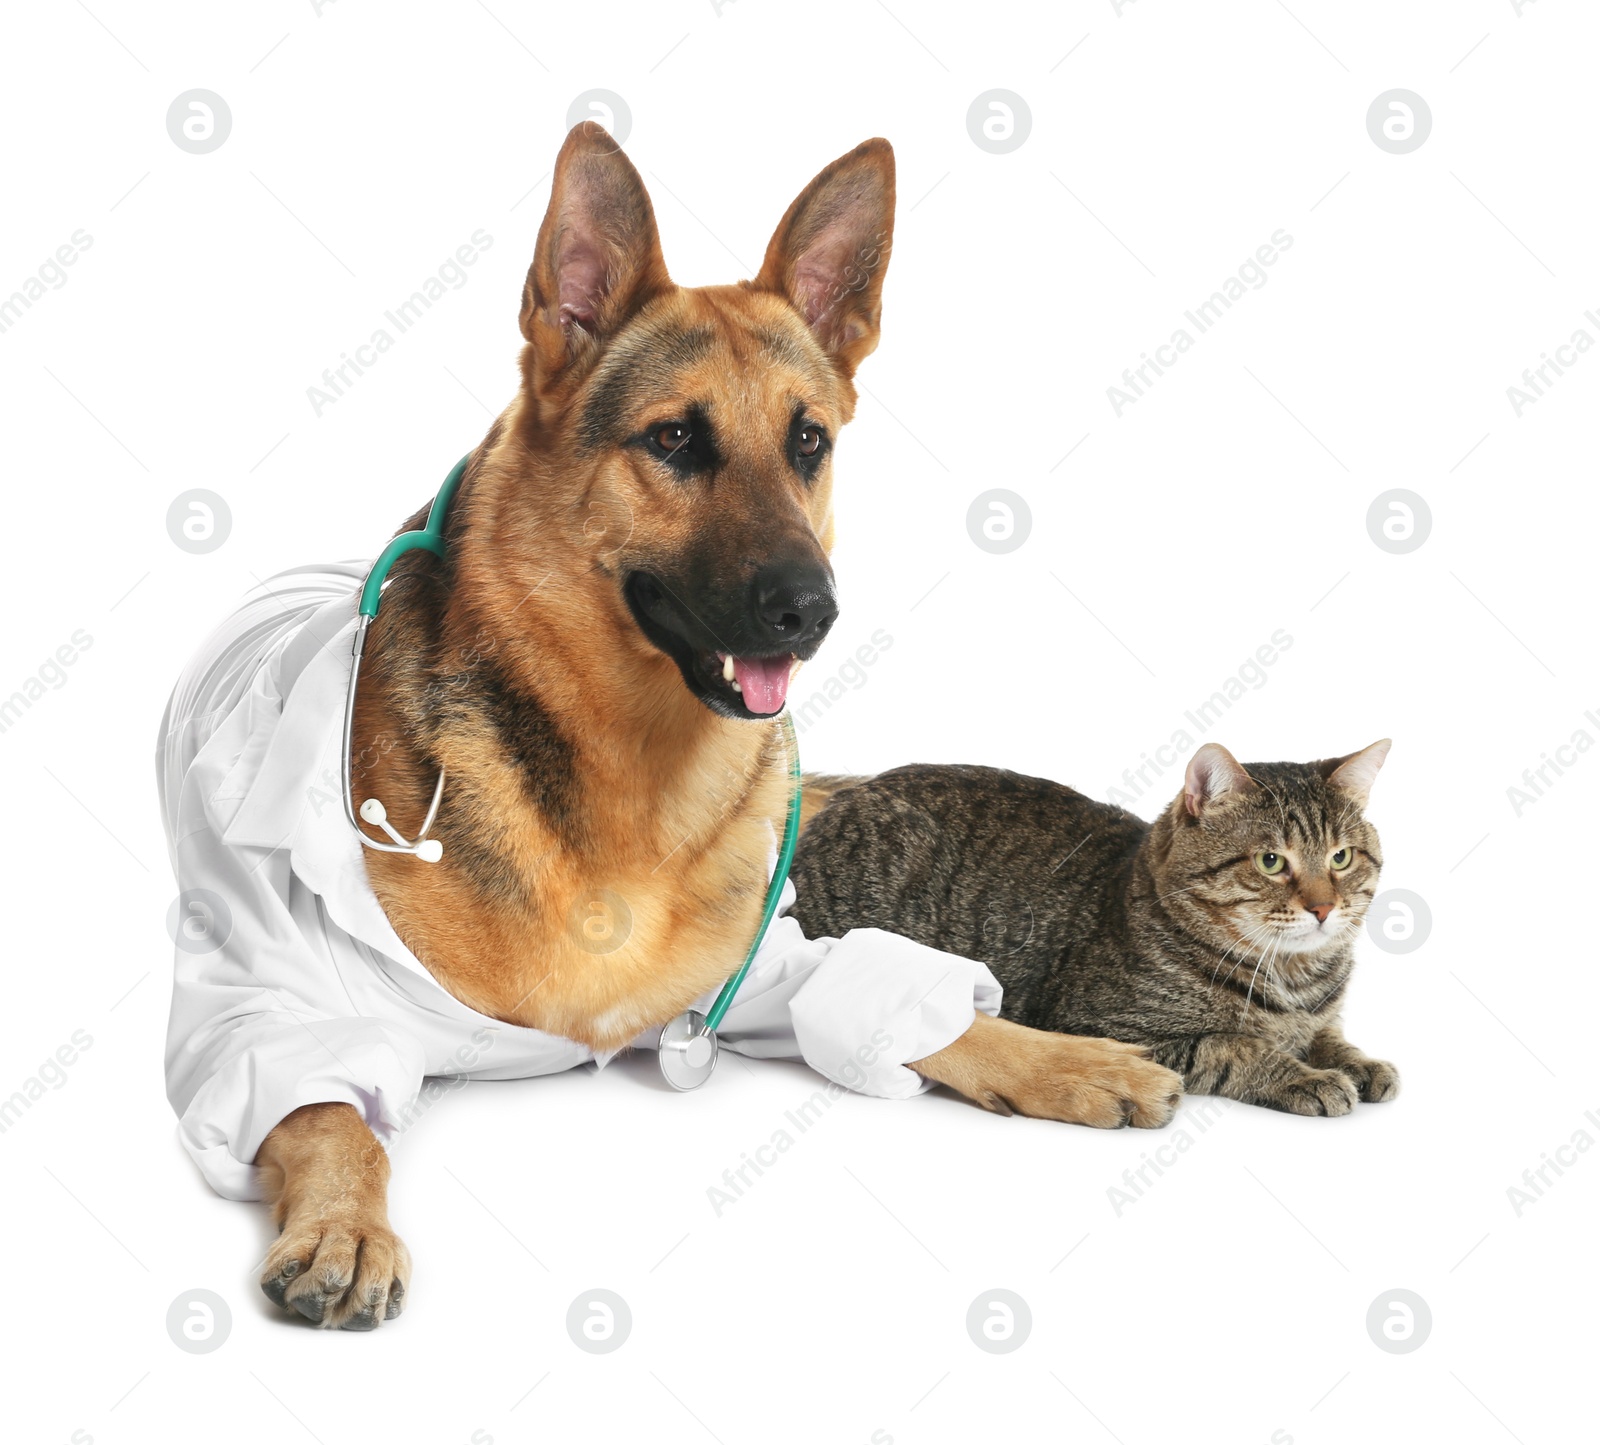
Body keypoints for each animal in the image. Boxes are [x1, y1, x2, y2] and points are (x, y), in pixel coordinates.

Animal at [249, 127, 1177, 1331]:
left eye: (808, 440)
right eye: (677, 438)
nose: (812, 611)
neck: (629, 779)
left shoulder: (767, 963)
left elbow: (919, 1005)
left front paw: (1070, 1060)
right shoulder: (280, 1001)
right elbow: (328, 1112)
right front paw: (345, 1225)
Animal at [790, 745, 1401, 1120]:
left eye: (1342, 858)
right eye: (1271, 862)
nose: (1324, 908)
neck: (1295, 978)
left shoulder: (1319, 1016)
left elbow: (1329, 1036)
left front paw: (1362, 1063)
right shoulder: (1103, 1025)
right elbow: (1233, 1047)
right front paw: (1306, 1078)